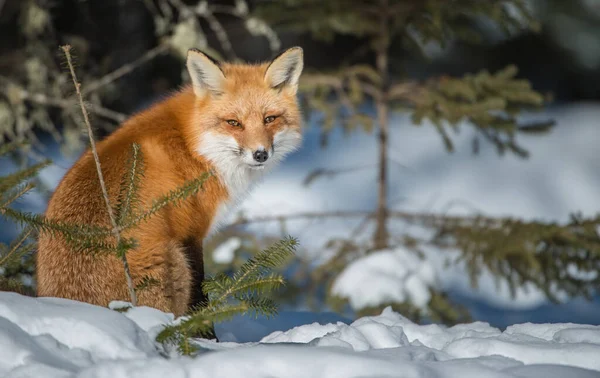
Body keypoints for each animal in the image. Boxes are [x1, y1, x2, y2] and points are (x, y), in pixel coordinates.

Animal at [36, 46, 304, 316]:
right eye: (233, 123)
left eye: (270, 119)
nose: (260, 154)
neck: (193, 146)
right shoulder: (192, 233)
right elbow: (200, 299)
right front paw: (204, 327)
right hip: (173, 262)